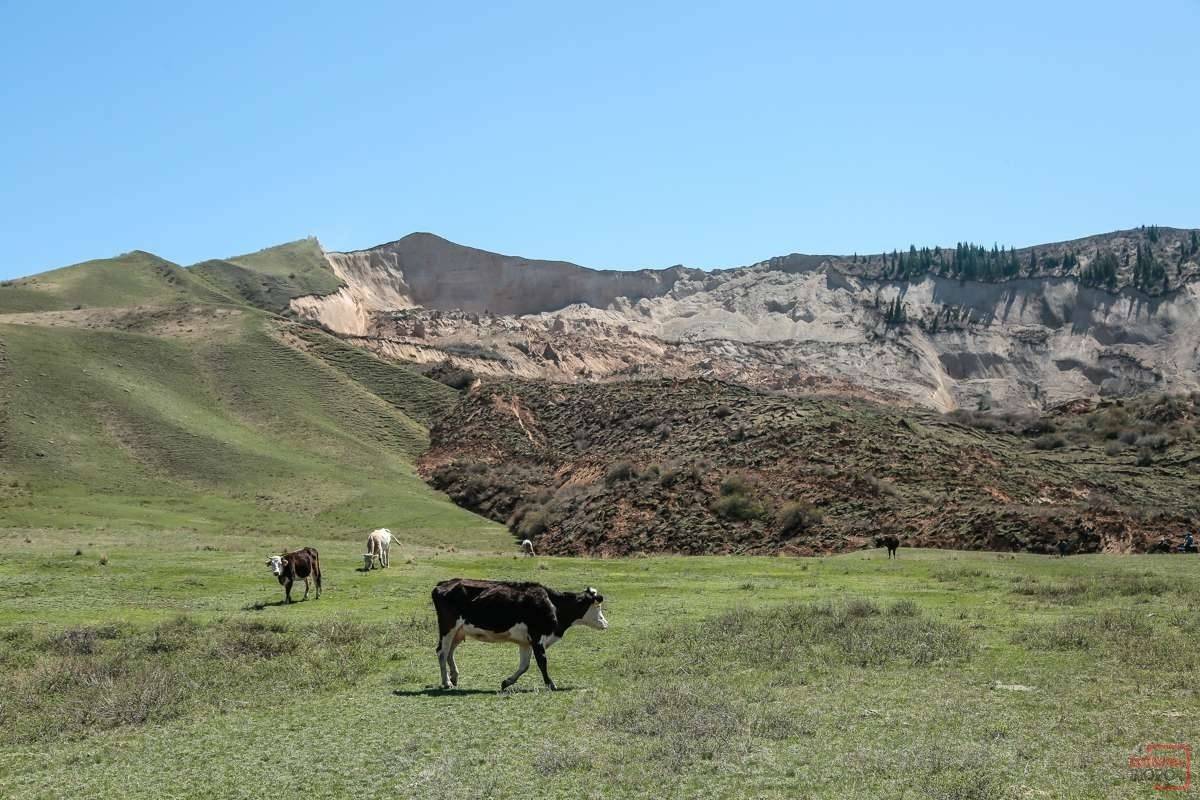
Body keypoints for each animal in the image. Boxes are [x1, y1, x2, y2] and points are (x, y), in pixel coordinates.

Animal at [432, 578, 609, 690]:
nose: (606, 623)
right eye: (597, 606)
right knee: (442, 652)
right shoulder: (537, 637)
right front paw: (550, 684)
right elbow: (542, 662)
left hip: (458, 631)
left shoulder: (526, 642)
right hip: (448, 627)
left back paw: (454, 677)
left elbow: (524, 665)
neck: (552, 604)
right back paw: (446, 682)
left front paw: (507, 682)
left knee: (449, 652)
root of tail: (444, 584)